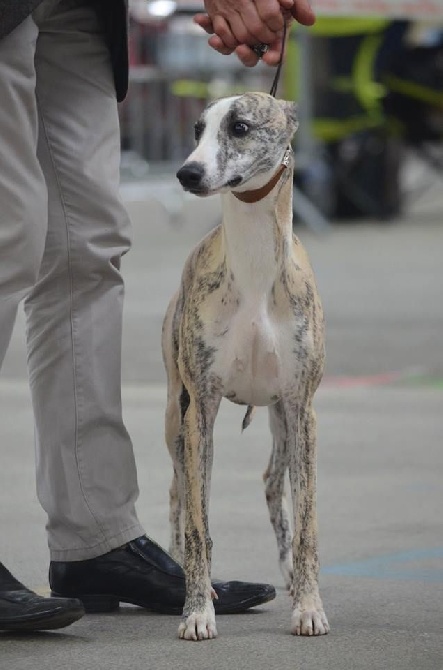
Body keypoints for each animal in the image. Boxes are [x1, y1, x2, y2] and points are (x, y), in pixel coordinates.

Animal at [163, 92, 330, 644]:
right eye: (197, 129)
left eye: (240, 127)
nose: (187, 173)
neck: (255, 273)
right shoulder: (201, 408)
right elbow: (199, 525)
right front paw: (197, 611)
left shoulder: (303, 408)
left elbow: (307, 523)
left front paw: (309, 608)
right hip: (177, 421)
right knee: (178, 494)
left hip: (280, 423)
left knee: (273, 484)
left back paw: (288, 574)